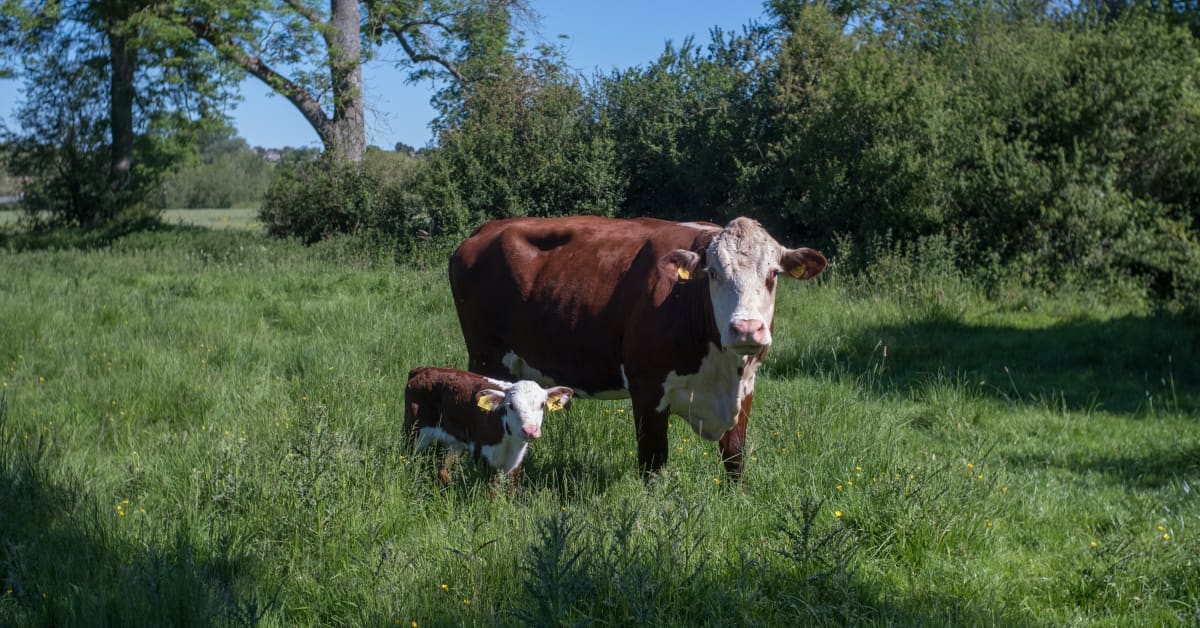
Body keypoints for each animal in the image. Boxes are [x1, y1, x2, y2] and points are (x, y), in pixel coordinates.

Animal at [400, 365, 573, 485]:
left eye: (542, 405)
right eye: (510, 406)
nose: (530, 430)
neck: (509, 442)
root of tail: (423, 369)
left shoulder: (516, 462)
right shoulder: (484, 454)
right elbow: (491, 491)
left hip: (452, 443)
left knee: (443, 470)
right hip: (413, 431)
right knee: (406, 458)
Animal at [446, 214, 830, 477]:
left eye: (773, 274)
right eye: (714, 273)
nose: (746, 329)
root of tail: (487, 230)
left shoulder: (745, 386)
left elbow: (735, 456)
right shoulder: (647, 388)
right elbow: (653, 461)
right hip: (486, 356)